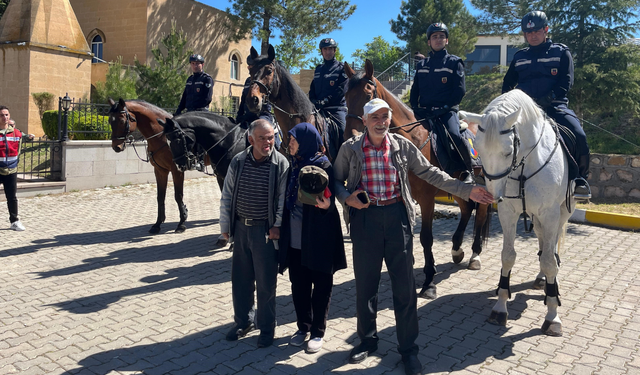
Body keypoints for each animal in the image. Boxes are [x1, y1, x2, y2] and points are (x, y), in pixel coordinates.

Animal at [109, 100, 189, 235]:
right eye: (110, 121)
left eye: (122, 121)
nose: (116, 147)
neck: (163, 136)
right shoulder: (160, 171)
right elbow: (160, 197)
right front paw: (157, 224)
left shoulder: (177, 170)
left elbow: (178, 195)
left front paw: (182, 223)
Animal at [344, 59, 490, 300]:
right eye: (345, 96)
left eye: (367, 95)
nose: (350, 135)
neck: (412, 140)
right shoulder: (406, 195)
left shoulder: (427, 198)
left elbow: (425, 238)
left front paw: (429, 281)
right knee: (467, 209)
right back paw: (457, 248)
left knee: (481, 214)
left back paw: (475, 255)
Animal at [460, 89, 576, 336]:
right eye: (479, 150)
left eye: (507, 152)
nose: (493, 195)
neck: (526, 163)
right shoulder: (509, 213)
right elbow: (508, 256)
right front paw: (500, 307)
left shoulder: (550, 214)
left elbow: (550, 261)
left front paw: (552, 316)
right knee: (542, 242)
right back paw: (542, 280)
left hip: (562, 213)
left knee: (551, 247)